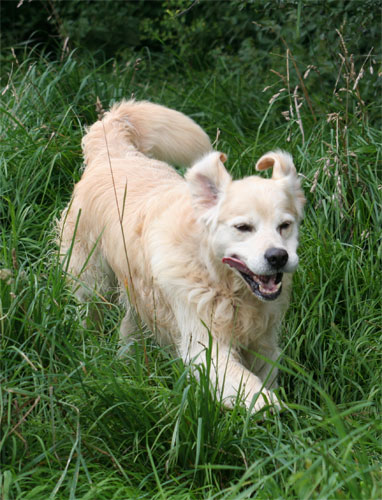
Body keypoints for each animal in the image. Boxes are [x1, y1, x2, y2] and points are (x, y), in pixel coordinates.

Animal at [58, 99, 306, 412]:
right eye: (243, 227)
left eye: (285, 225)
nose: (278, 257)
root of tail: (113, 153)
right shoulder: (205, 347)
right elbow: (255, 392)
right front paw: (277, 412)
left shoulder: (263, 342)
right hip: (93, 282)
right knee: (90, 312)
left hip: (141, 297)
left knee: (129, 328)